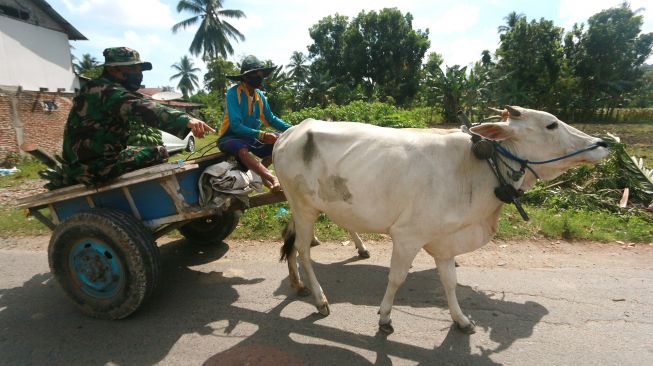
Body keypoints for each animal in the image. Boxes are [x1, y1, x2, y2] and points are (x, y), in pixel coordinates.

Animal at [272, 106, 608, 334]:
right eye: (551, 124)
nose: (603, 143)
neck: (479, 167)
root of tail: (291, 131)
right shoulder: (407, 236)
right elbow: (396, 278)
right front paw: (385, 317)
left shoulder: (446, 240)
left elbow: (450, 282)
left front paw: (461, 319)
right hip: (303, 206)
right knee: (303, 250)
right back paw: (320, 299)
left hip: (303, 207)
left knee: (293, 243)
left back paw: (299, 283)